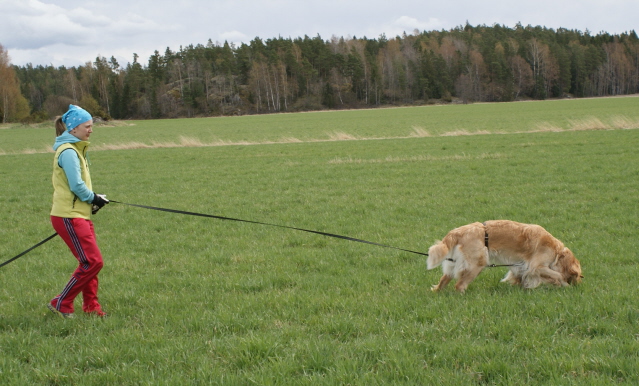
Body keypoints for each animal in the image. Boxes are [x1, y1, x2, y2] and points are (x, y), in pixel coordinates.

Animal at [428, 220, 584, 292]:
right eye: (575, 277)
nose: (578, 285)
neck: (557, 251)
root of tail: (457, 232)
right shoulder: (536, 266)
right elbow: (557, 274)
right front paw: (564, 285)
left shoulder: (520, 266)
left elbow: (519, 277)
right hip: (476, 264)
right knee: (459, 285)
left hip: (453, 263)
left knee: (443, 281)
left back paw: (437, 291)